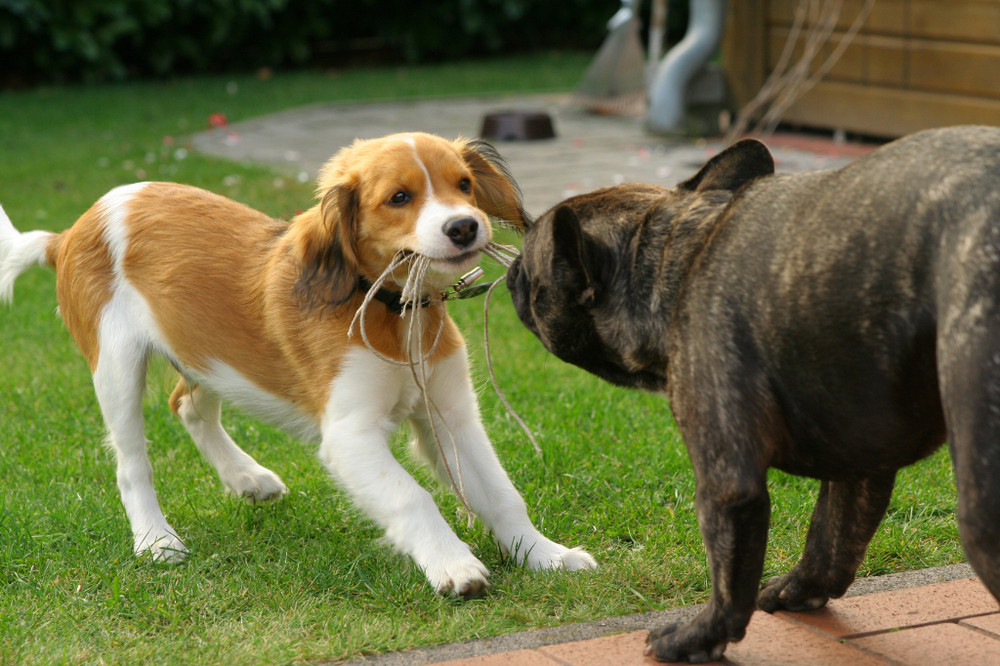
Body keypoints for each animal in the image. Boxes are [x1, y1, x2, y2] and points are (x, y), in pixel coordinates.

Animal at [0, 132, 592, 592]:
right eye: (399, 197)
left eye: (463, 185)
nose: (465, 226)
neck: (392, 311)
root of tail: (68, 233)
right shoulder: (350, 435)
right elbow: (412, 496)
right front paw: (453, 566)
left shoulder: (451, 414)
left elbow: (502, 494)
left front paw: (545, 555)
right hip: (116, 365)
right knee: (131, 462)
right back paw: (155, 540)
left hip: (204, 347)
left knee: (189, 405)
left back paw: (246, 478)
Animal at [508, 127, 1000, 660]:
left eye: (532, 271)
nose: (510, 271)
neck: (677, 255)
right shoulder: (857, 455)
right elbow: (830, 534)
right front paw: (799, 589)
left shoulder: (727, 476)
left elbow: (729, 572)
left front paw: (698, 636)